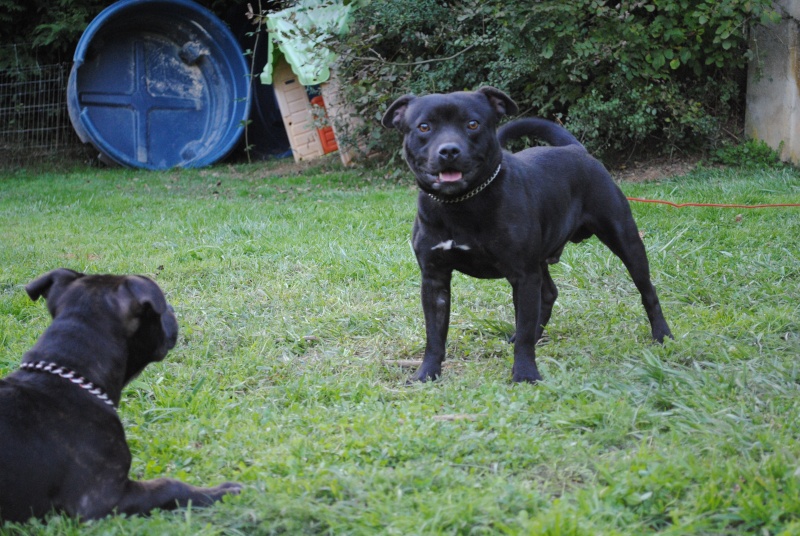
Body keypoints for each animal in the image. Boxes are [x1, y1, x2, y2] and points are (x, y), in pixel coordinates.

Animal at [0, 270, 241, 520]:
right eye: (161, 310)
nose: (172, 309)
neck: (69, 374)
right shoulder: (101, 498)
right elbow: (169, 486)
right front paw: (223, 493)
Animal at [384, 87, 672, 382]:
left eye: (473, 124)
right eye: (424, 127)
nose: (449, 150)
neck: (461, 204)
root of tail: (575, 149)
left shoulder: (523, 276)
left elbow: (523, 328)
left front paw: (524, 373)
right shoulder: (435, 279)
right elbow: (434, 334)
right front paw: (427, 373)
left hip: (625, 239)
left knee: (647, 290)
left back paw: (662, 335)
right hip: (542, 260)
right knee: (549, 294)